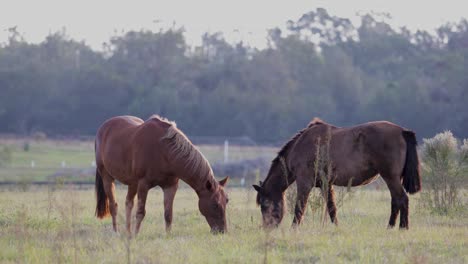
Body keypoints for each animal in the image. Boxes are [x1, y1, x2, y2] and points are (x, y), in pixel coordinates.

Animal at [94, 114, 229, 234]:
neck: (163, 151)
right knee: (113, 206)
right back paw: (116, 232)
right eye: (215, 204)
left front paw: (168, 236)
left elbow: (168, 214)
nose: (222, 231)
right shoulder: (143, 185)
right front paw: (136, 235)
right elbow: (140, 212)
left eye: (226, 201)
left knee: (128, 203)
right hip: (107, 177)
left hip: (132, 184)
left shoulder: (170, 186)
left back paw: (127, 231)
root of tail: (103, 128)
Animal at [254, 117, 422, 229]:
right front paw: (336, 227)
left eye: (264, 203)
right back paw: (391, 227)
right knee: (396, 201)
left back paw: (402, 228)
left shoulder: (304, 182)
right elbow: (331, 208)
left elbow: (299, 207)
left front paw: (294, 228)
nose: (267, 228)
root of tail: (402, 131)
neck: (301, 145)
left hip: (390, 177)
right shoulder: (325, 184)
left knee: (402, 199)